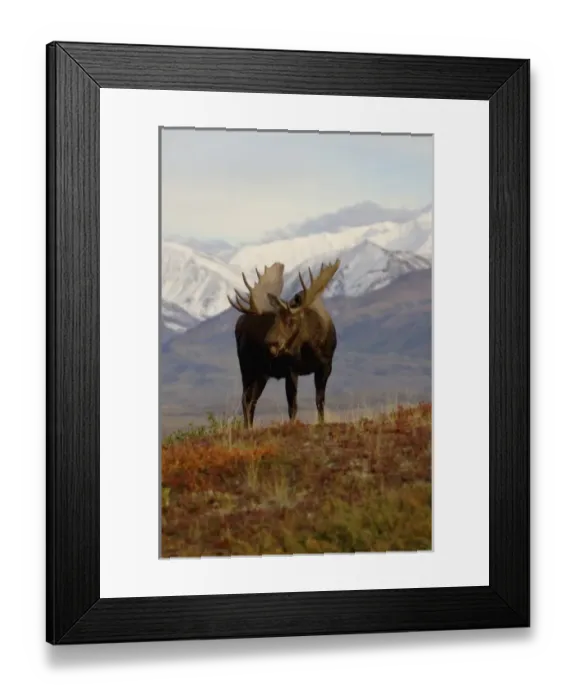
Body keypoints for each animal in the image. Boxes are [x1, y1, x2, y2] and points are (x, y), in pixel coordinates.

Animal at [227, 259, 341, 429]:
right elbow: (292, 407)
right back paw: (247, 428)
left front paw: (321, 423)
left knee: (252, 401)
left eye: (291, 320)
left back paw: (250, 427)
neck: (311, 347)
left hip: (262, 375)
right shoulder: (291, 370)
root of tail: (239, 324)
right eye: (274, 319)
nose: (269, 341)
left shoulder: (326, 366)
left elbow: (320, 402)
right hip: (247, 368)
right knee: (245, 400)